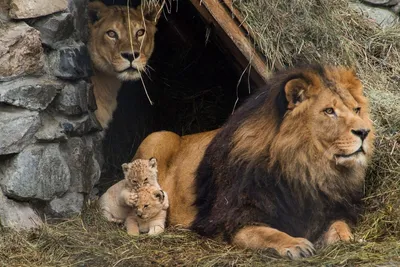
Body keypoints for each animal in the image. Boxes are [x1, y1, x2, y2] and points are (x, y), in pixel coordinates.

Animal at [133, 66, 374, 260]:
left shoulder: (333, 209)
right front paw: (295, 244)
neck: (306, 168)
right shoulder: (235, 218)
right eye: (329, 111)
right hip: (158, 136)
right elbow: (268, 233)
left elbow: (340, 226)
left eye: (356, 109)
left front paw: (350, 239)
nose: (364, 132)